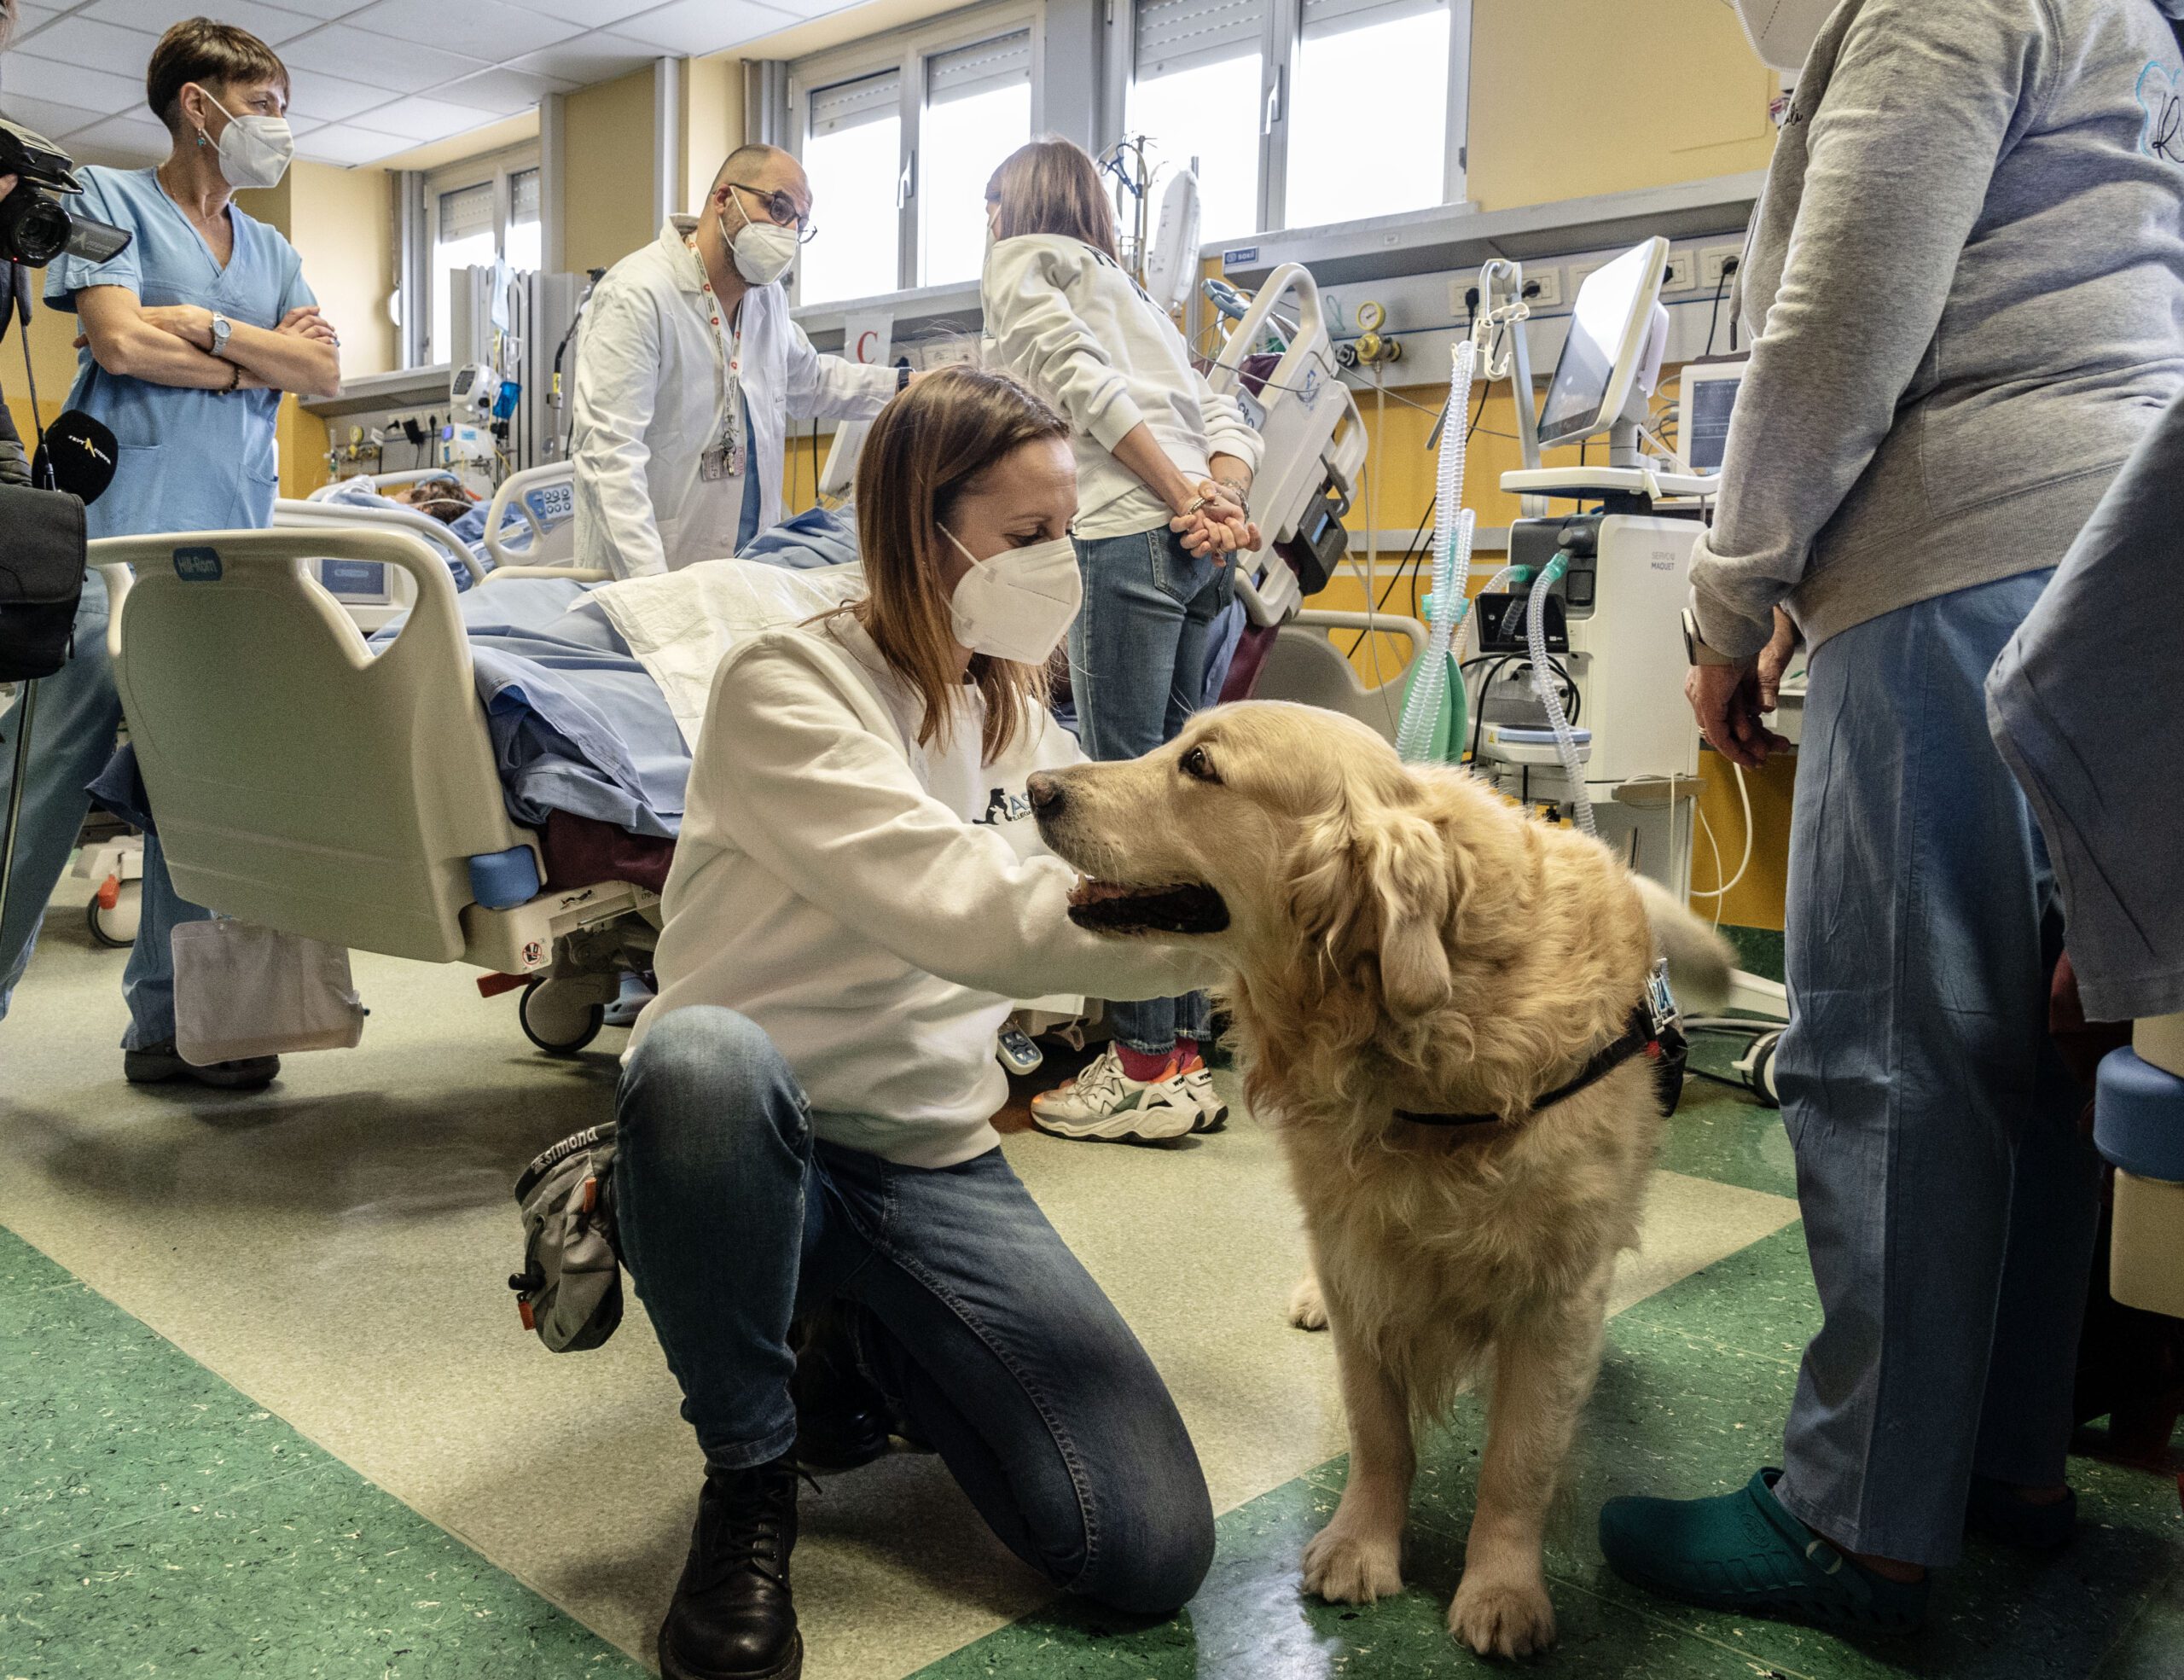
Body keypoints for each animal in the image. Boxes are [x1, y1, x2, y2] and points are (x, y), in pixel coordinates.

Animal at [1031, 699, 1729, 1660]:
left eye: (1200, 765)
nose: (1036, 788)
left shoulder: (1555, 1294)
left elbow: (1518, 1461)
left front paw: (1501, 1587)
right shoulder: (1361, 1255)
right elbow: (1378, 1430)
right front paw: (1362, 1544)